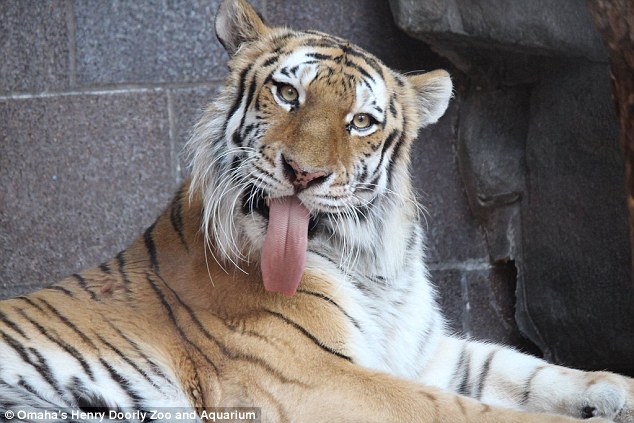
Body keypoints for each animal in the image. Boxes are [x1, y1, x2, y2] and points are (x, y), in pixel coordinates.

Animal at [1, 0, 633, 422]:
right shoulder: (317, 377)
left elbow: (531, 371)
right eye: (288, 94)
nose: (303, 174)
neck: (368, 264)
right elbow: (465, 410)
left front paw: (618, 391)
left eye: (361, 122)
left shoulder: (426, 352)